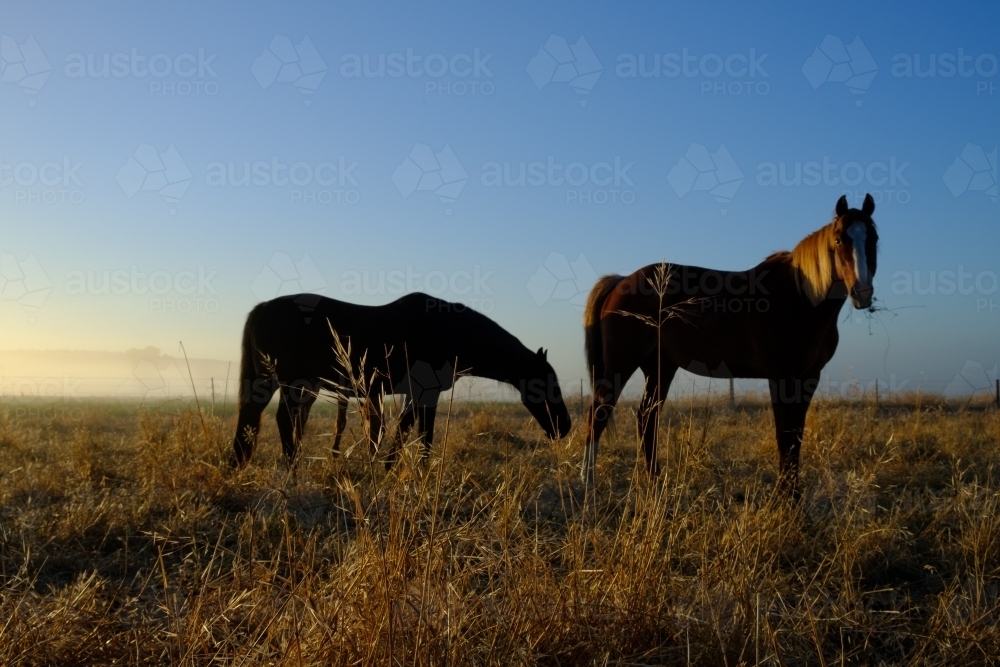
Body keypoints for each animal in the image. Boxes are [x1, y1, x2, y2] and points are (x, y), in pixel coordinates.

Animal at [229, 292, 568, 470]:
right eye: (545, 385)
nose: (564, 427)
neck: (450, 331)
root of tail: (262, 308)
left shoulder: (423, 394)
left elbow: (418, 433)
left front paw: (411, 469)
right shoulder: (422, 392)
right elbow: (409, 432)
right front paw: (393, 468)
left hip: (271, 382)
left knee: (252, 416)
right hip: (293, 382)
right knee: (284, 419)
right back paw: (292, 466)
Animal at [584, 193, 880, 496]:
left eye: (874, 238)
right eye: (839, 239)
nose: (862, 293)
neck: (800, 297)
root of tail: (621, 281)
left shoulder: (809, 376)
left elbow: (796, 435)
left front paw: (793, 493)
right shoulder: (780, 376)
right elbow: (784, 434)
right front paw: (784, 495)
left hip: (659, 368)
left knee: (647, 418)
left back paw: (655, 480)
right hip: (621, 364)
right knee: (599, 413)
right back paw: (589, 481)